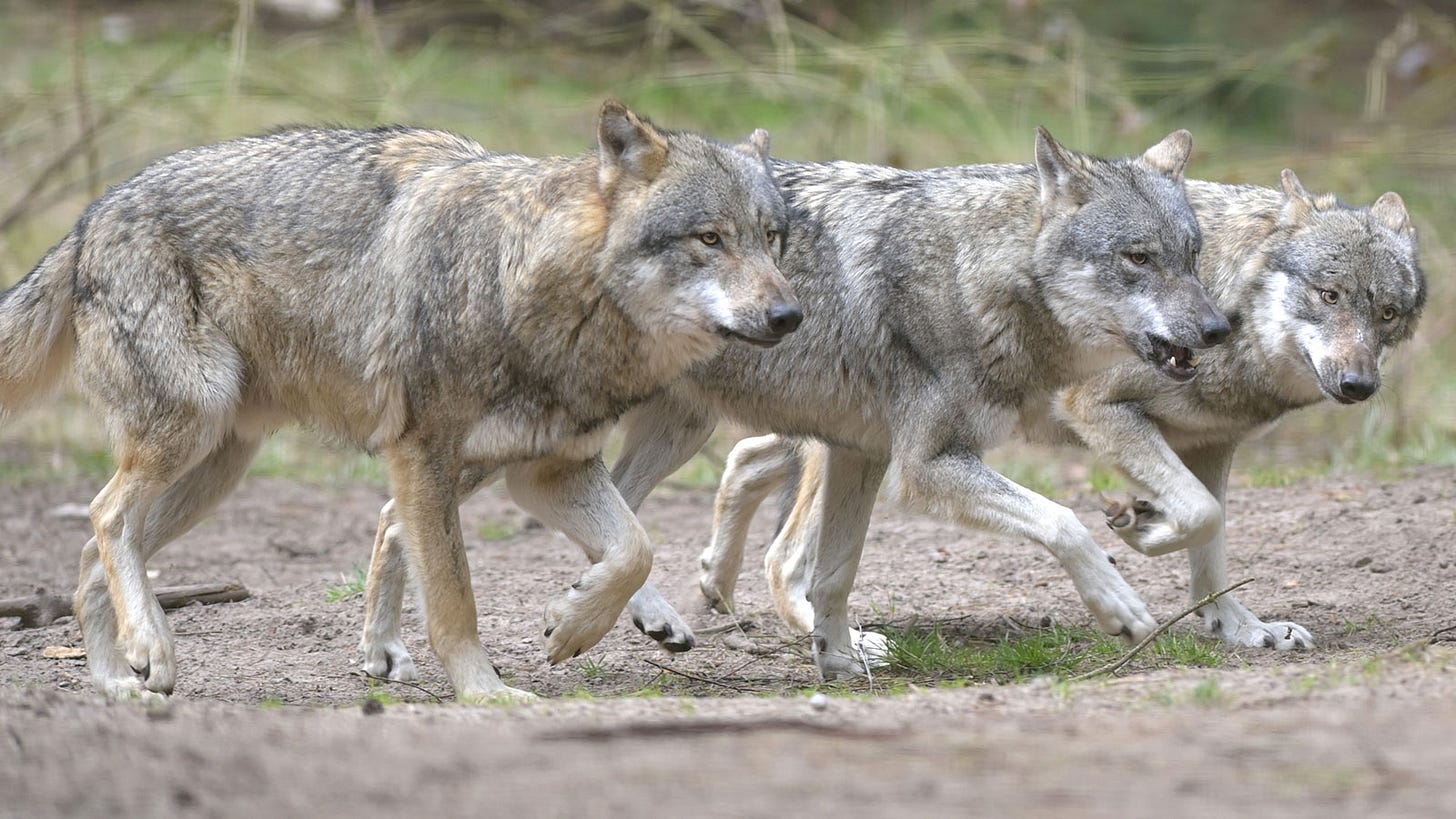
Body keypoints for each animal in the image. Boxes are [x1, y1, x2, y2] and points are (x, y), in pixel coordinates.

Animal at [0, 101, 798, 703]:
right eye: (709, 239)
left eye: (771, 239)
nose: (790, 316)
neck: (527, 285)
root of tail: (90, 216)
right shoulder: (424, 453)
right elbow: (453, 599)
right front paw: (487, 694)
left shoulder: (547, 470)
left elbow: (634, 547)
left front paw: (573, 624)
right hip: (194, 432)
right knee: (106, 516)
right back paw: (149, 648)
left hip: (224, 471)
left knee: (94, 549)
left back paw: (117, 680)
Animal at [361, 127, 1231, 682]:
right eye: (1138, 258)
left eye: (1192, 256)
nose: (1220, 328)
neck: (973, 275)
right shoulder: (928, 466)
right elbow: (1066, 522)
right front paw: (1122, 605)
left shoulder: (859, 454)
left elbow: (834, 574)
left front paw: (837, 660)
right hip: (515, 442)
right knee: (396, 516)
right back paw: (382, 654)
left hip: (675, 433)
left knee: (610, 523)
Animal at [702, 169, 1423, 657]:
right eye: (1329, 295)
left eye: (1387, 313)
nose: (1359, 384)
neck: (1229, 304)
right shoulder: (1099, 409)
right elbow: (1196, 514)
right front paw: (1144, 530)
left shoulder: (1213, 446)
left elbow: (1210, 542)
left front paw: (1241, 628)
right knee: (781, 553)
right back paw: (828, 633)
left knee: (744, 460)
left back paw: (716, 581)